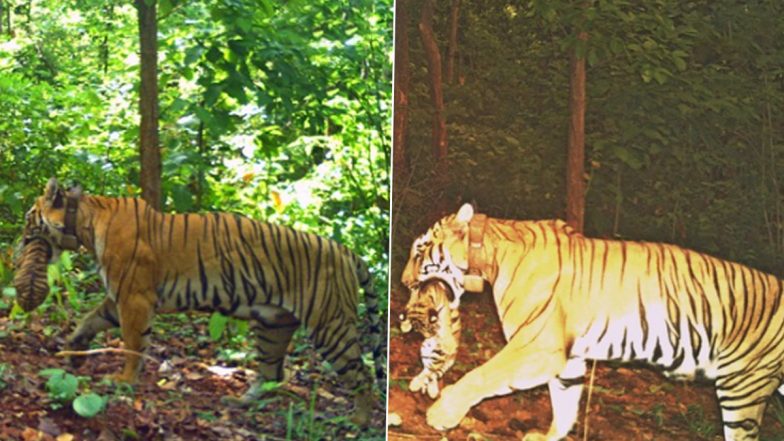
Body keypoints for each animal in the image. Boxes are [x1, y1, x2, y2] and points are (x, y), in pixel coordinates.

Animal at [24, 178, 386, 425]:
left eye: (31, 216)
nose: (22, 236)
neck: (84, 221)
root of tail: (347, 252)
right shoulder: (119, 296)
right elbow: (91, 319)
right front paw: (73, 348)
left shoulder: (134, 298)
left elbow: (132, 344)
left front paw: (123, 381)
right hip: (272, 324)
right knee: (272, 373)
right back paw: (240, 403)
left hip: (330, 324)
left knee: (362, 377)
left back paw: (357, 422)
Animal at [401, 203, 784, 441]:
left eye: (420, 251)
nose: (404, 282)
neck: (489, 254)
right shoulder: (567, 359)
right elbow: (564, 405)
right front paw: (548, 436)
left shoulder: (536, 347)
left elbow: (480, 376)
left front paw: (442, 412)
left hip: (742, 387)